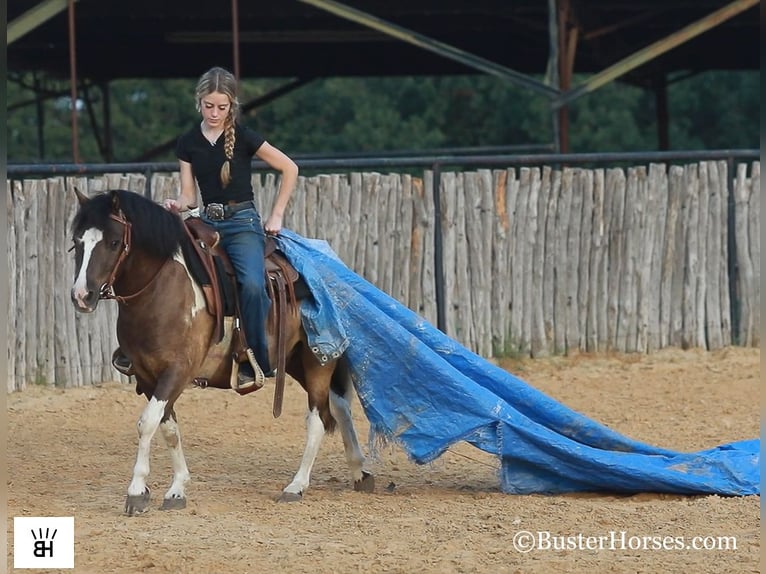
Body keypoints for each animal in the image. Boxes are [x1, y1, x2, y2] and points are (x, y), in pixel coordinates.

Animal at [69, 190, 376, 516]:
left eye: (114, 242)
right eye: (77, 241)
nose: (82, 296)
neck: (162, 288)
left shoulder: (178, 371)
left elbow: (147, 423)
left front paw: (137, 491)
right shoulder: (148, 375)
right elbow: (168, 427)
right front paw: (177, 489)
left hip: (317, 360)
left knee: (317, 419)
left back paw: (296, 486)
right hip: (294, 361)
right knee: (339, 406)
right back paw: (360, 471)